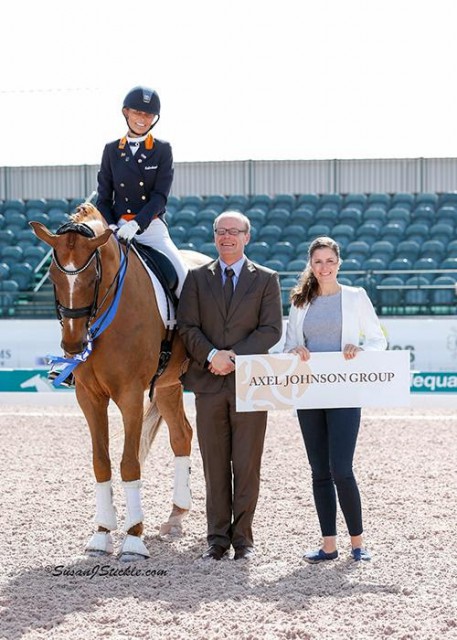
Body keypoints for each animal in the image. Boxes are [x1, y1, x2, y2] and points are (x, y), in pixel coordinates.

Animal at [31, 204, 209, 560]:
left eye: (92, 277)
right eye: (54, 276)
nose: (73, 346)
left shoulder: (130, 395)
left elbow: (129, 464)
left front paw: (134, 538)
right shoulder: (89, 396)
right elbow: (101, 462)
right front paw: (101, 534)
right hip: (168, 385)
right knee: (181, 435)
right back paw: (176, 514)